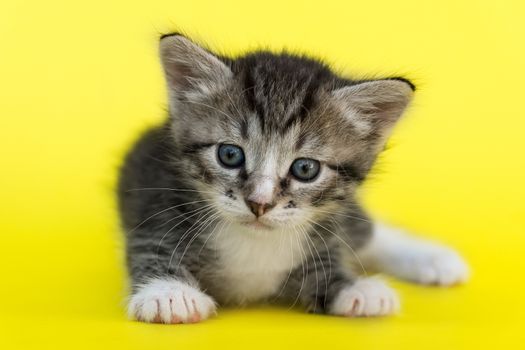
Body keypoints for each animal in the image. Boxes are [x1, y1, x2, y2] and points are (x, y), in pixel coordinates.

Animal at [118, 32, 466, 322]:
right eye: (229, 155)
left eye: (305, 169)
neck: (255, 243)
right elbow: (151, 244)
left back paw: (436, 259)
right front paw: (168, 292)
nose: (259, 203)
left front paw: (357, 289)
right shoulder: (154, 198)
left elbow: (329, 265)